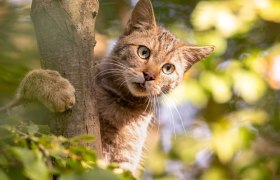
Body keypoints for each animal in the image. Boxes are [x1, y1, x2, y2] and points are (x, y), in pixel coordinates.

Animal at [7, 0, 214, 175]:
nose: (149, 76)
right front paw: (56, 88)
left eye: (168, 69)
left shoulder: (125, 158)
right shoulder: (18, 117)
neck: (120, 103)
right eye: (143, 52)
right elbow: (29, 82)